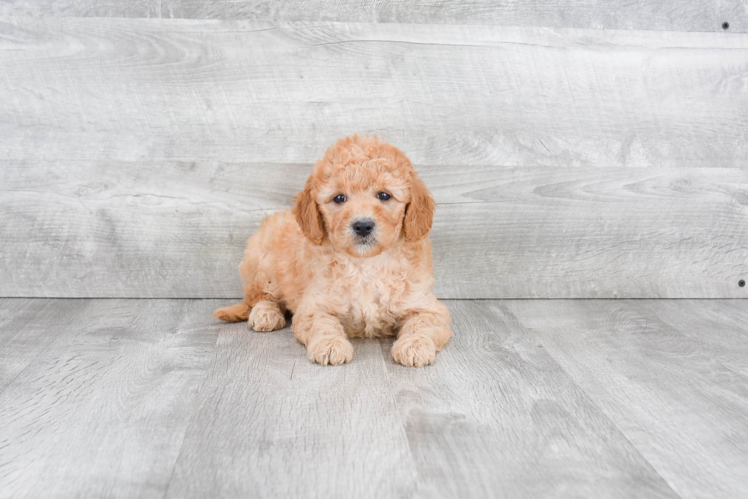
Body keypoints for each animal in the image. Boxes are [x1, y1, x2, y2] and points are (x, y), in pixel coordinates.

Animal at [213, 135, 452, 366]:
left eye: (384, 195)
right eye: (339, 198)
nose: (363, 225)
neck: (366, 264)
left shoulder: (426, 305)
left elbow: (423, 322)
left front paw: (415, 346)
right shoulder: (313, 307)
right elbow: (323, 323)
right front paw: (329, 345)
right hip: (262, 259)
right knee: (261, 296)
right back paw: (265, 313)